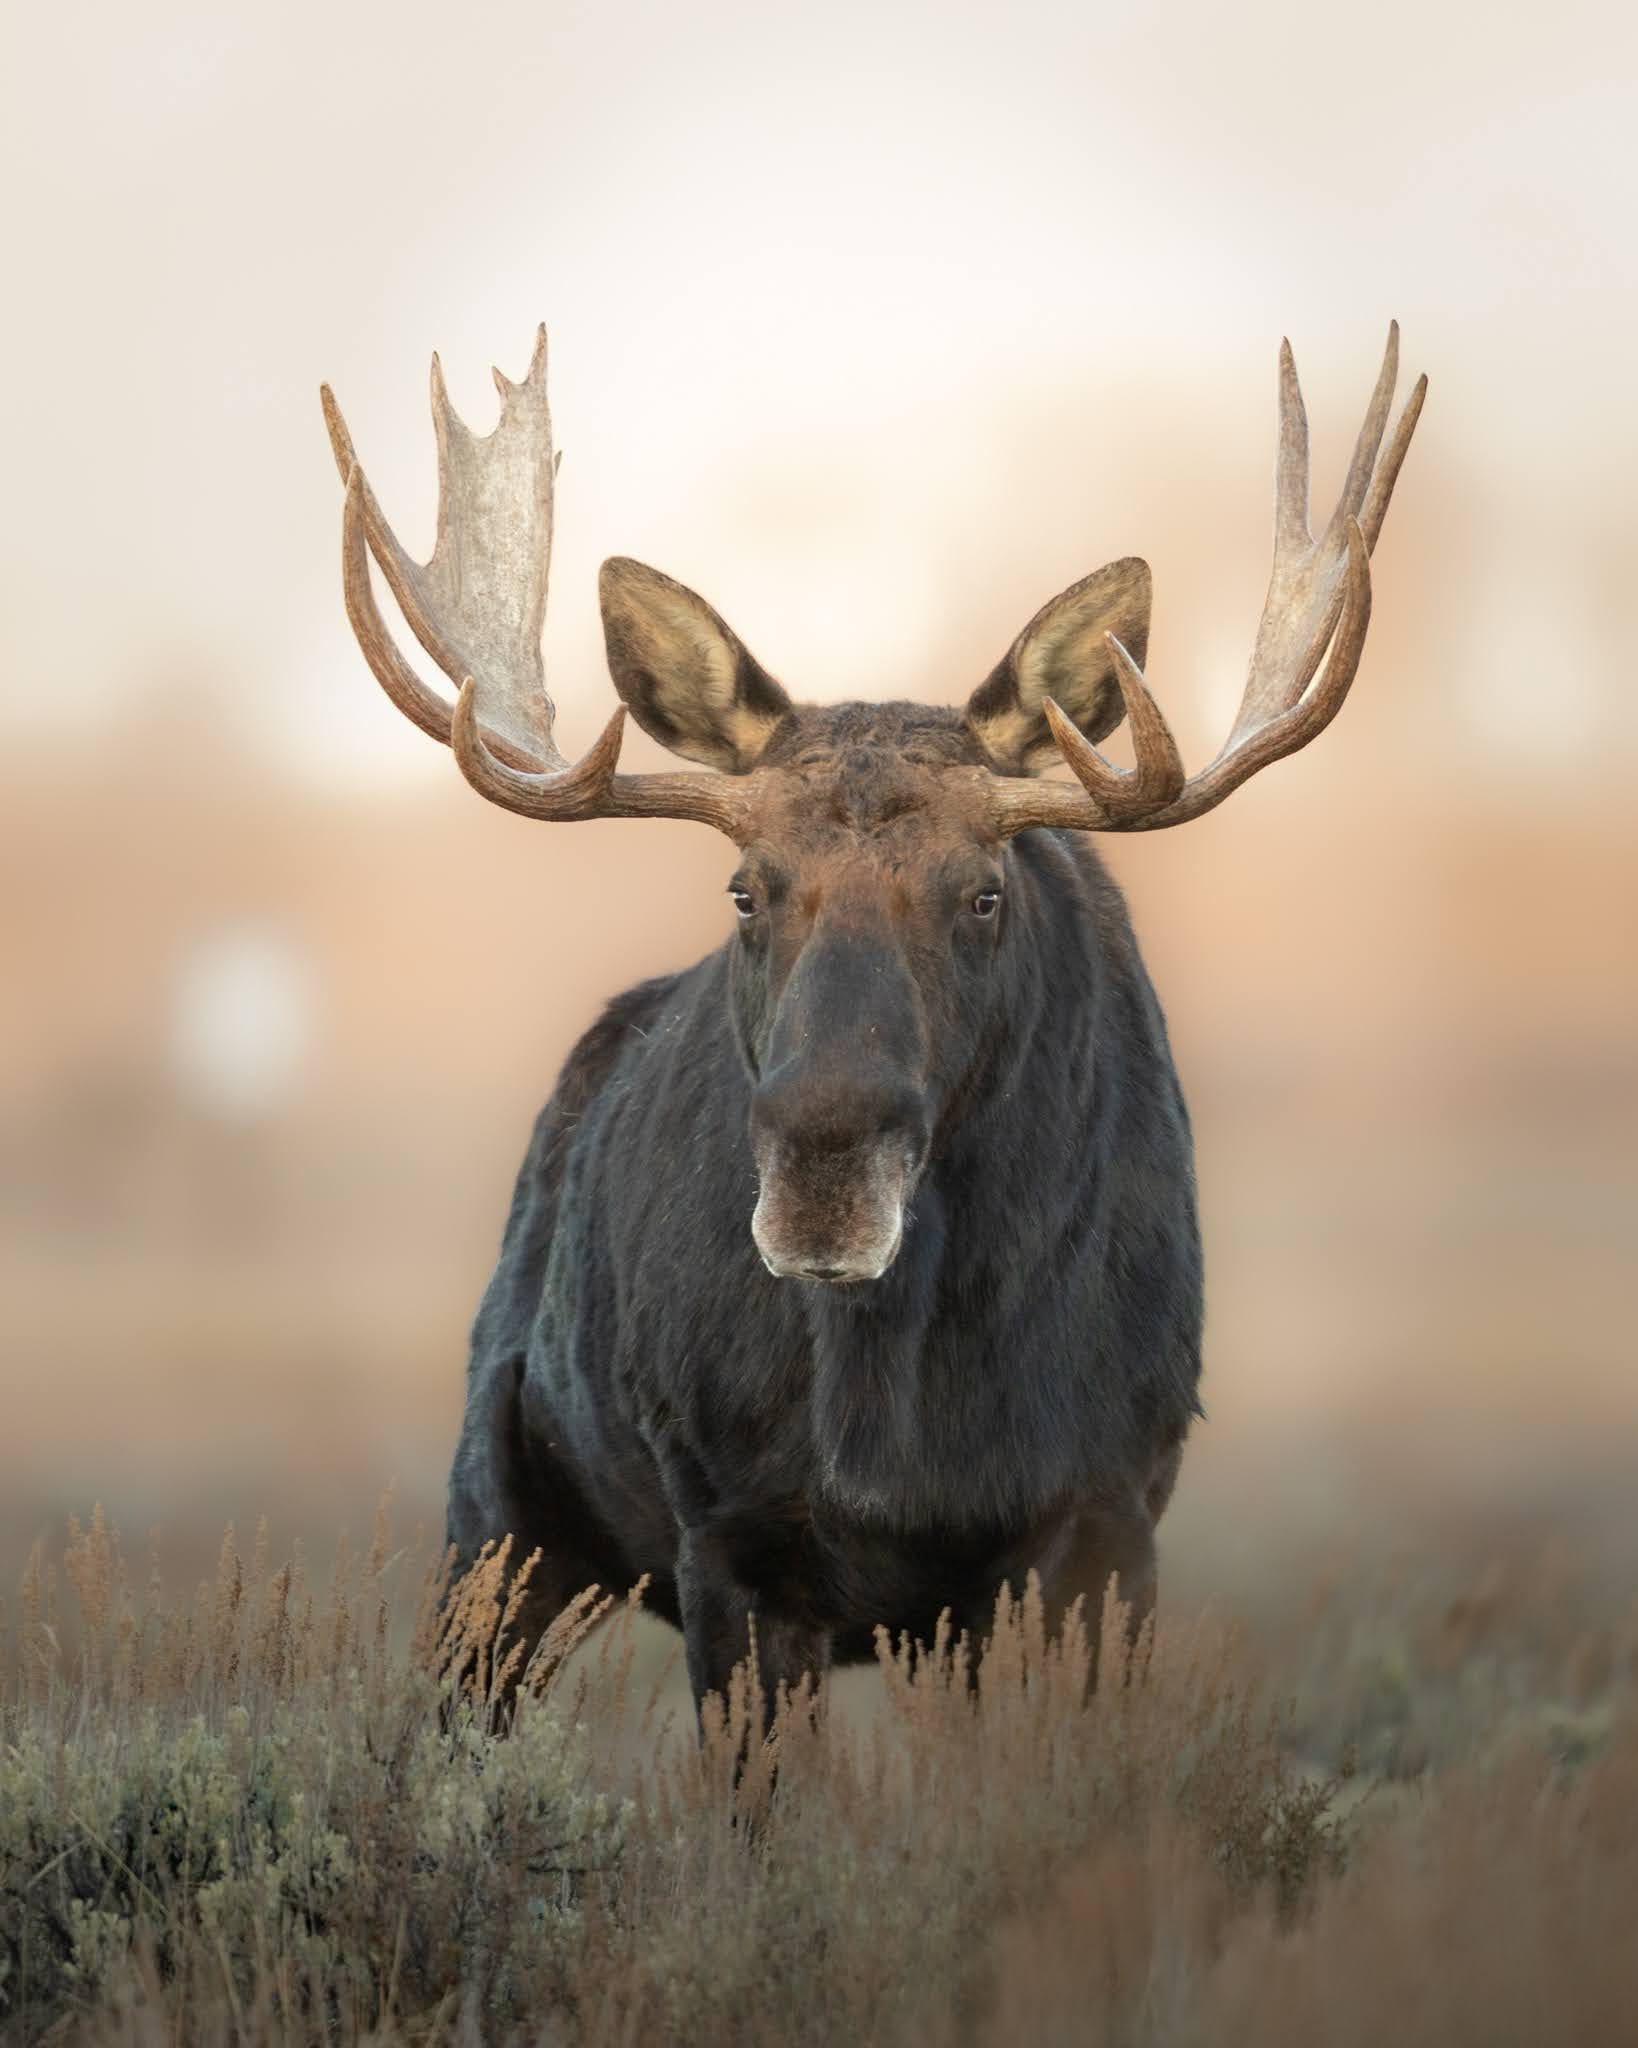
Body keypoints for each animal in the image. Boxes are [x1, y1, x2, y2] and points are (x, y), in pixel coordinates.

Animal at [321, 324, 1423, 1717]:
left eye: (984, 891)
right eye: (746, 887)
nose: (823, 1171)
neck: (907, 1398)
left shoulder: (1104, 1518)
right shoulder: (731, 1534)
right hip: (495, 1514)